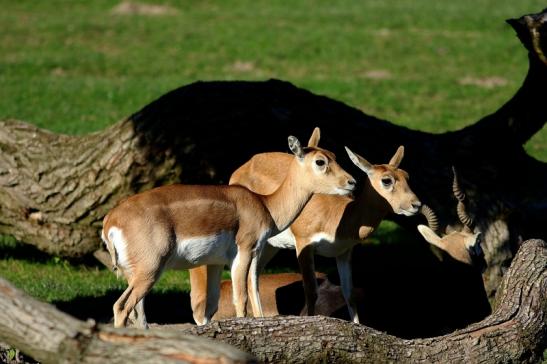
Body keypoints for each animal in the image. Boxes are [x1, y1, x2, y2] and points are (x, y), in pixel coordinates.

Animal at [100, 129, 356, 328]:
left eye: (335, 155)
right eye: (320, 161)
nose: (351, 182)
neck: (264, 205)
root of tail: (110, 221)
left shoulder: (223, 261)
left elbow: (222, 304)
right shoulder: (243, 252)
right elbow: (241, 299)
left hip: (136, 274)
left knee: (138, 314)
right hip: (149, 271)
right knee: (121, 307)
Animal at [188, 129, 420, 322]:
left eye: (407, 176)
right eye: (387, 180)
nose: (416, 204)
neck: (338, 217)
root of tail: (245, 165)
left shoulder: (344, 253)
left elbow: (349, 294)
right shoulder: (304, 244)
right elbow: (311, 290)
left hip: (268, 246)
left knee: (254, 278)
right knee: (248, 280)